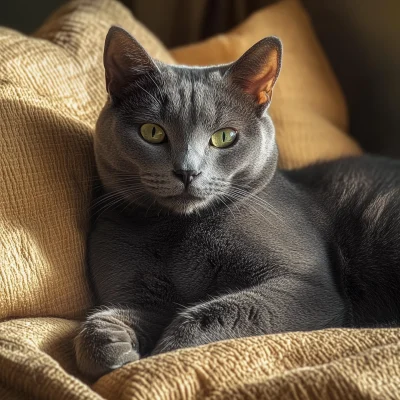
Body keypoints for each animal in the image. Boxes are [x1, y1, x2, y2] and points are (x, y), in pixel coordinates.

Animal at [74, 25, 400, 378]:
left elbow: (220, 314)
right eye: (152, 132)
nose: (187, 171)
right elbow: (115, 320)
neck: (179, 230)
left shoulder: (309, 287)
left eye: (224, 137)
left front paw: (167, 352)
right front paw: (109, 342)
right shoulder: (139, 293)